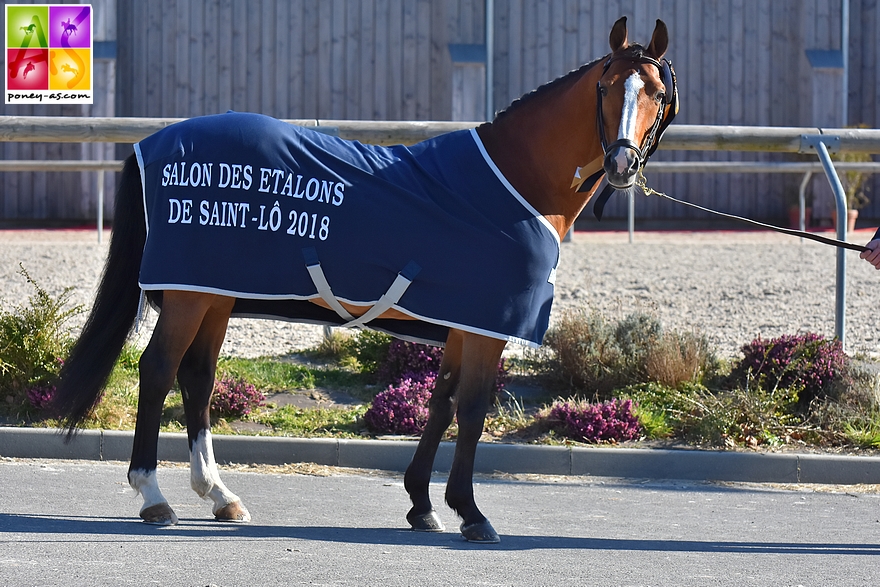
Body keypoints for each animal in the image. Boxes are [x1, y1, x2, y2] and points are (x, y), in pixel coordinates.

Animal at [51, 16, 676, 544]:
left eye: (655, 93)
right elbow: (473, 410)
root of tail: (152, 143)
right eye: (606, 88)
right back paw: (153, 496)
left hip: (214, 296)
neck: (511, 183)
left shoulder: (460, 323)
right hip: (188, 298)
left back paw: (220, 495)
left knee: (197, 379)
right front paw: (471, 512)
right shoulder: (485, 328)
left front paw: (422, 503)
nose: (621, 165)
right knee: (157, 371)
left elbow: (441, 402)